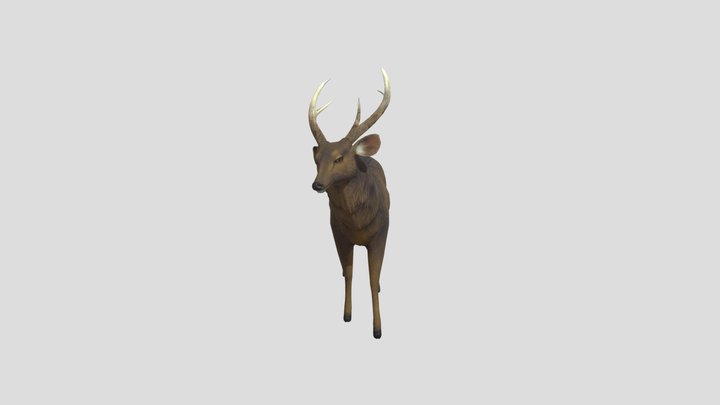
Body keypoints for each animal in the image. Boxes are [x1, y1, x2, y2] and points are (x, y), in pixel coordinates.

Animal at [308, 68, 392, 339]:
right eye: (317, 159)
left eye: (340, 157)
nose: (317, 184)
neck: (357, 223)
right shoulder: (338, 233)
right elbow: (348, 273)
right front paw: (347, 315)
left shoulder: (381, 233)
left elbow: (372, 279)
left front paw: (377, 329)